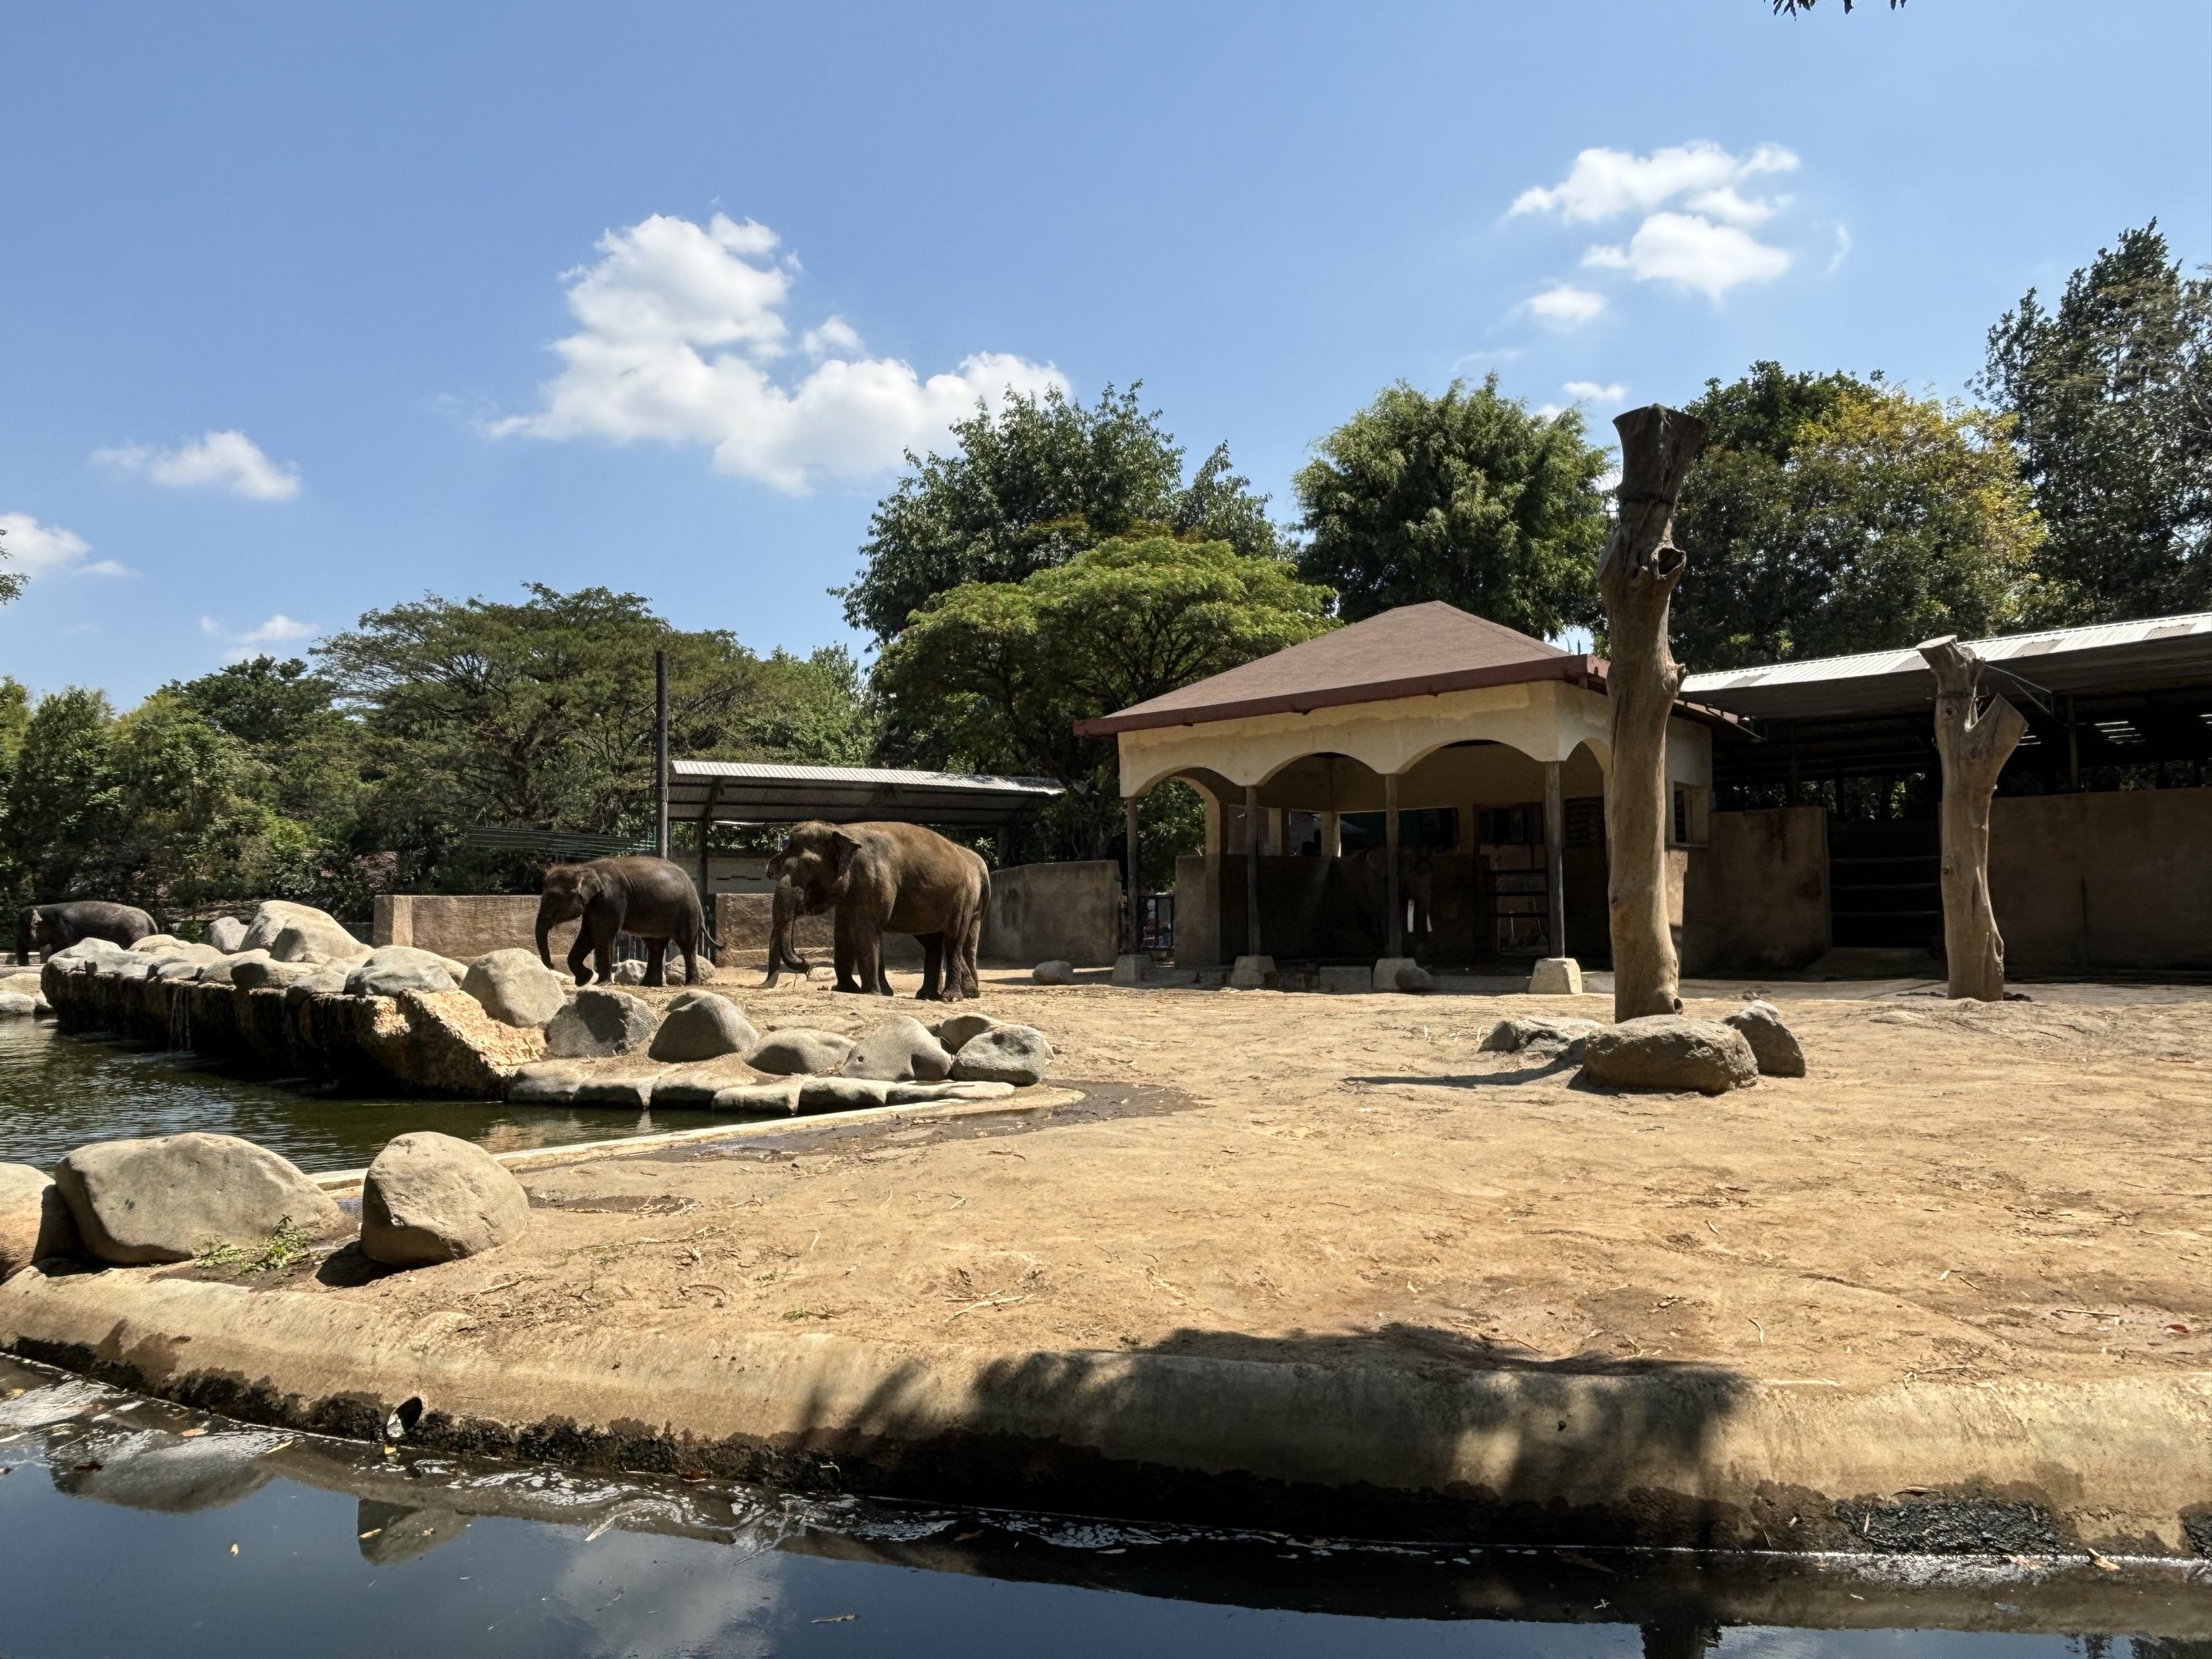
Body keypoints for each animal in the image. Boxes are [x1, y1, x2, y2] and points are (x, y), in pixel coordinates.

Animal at [17, 900, 160, 963]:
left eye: (22, 929)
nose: (23, 965)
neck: (44, 908)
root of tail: (150, 919)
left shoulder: (64, 930)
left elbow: (61, 947)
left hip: (136, 933)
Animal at [534, 855, 722, 987]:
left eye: (553, 898)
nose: (551, 965)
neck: (585, 867)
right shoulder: (594, 905)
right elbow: (588, 934)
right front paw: (583, 980)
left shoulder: (611, 898)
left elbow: (602, 934)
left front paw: (600, 984)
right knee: (655, 945)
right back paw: (648, 984)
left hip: (687, 911)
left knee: (686, 943)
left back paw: (690, 984)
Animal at [771, 821, 989, 1002]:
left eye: (808, 866)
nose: (805, 962)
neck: (843, 830)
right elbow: (843, 932)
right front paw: (850, 990)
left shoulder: (873, 879)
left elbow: (864, 929)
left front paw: (871, 993)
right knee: (933, 942)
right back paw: (934, 995)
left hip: (963, 898)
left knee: (954, 940)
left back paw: (951, 998)